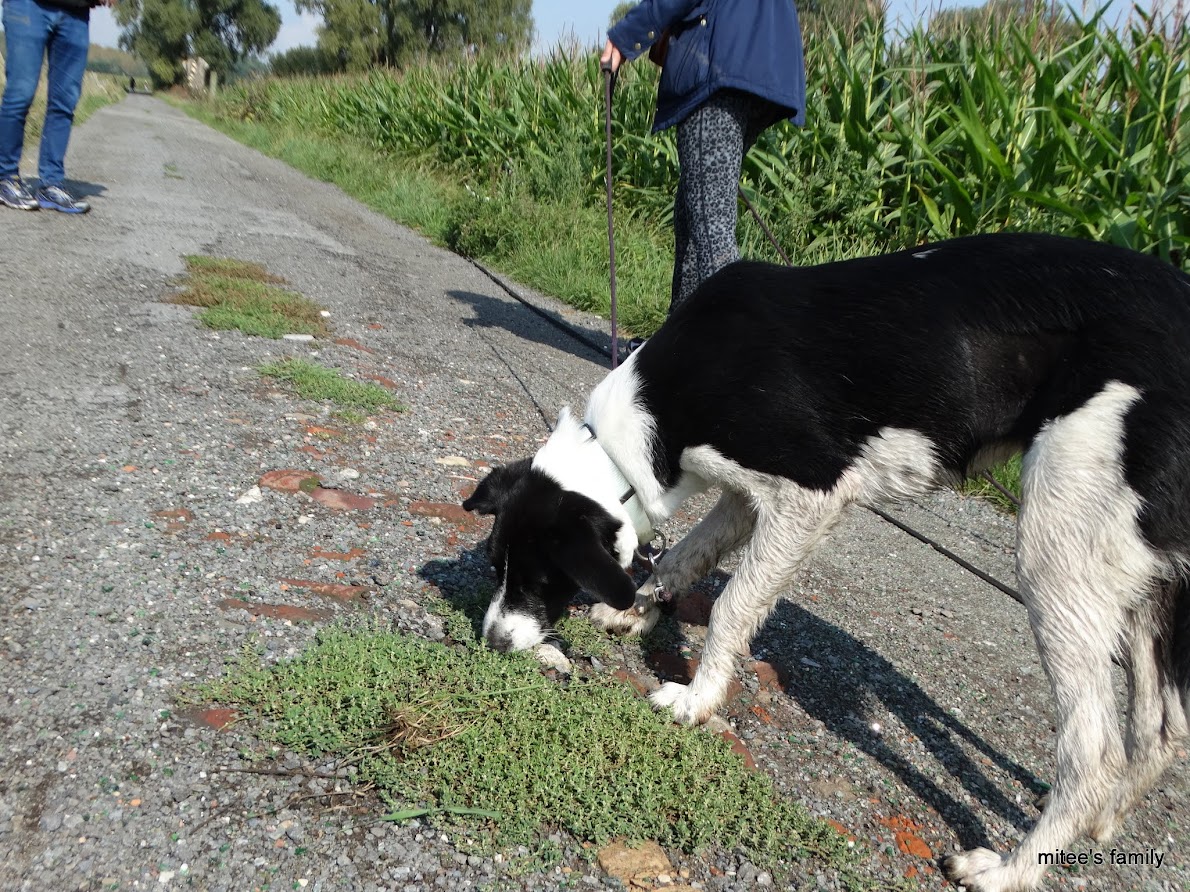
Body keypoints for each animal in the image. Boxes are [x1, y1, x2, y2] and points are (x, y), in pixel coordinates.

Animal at [461, 231, 1190, 892]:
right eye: (495, 566)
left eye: (540, 579)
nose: (491, 642)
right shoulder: (746, 498)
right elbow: (684, 557)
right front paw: (638, 612)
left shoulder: (810, 495)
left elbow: (732, 606)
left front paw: (696, 699)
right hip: (1143, 582)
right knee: (1159, 732)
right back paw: (1101, 825)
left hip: (1056, 546)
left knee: (1094, 754)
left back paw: (1010, 869)